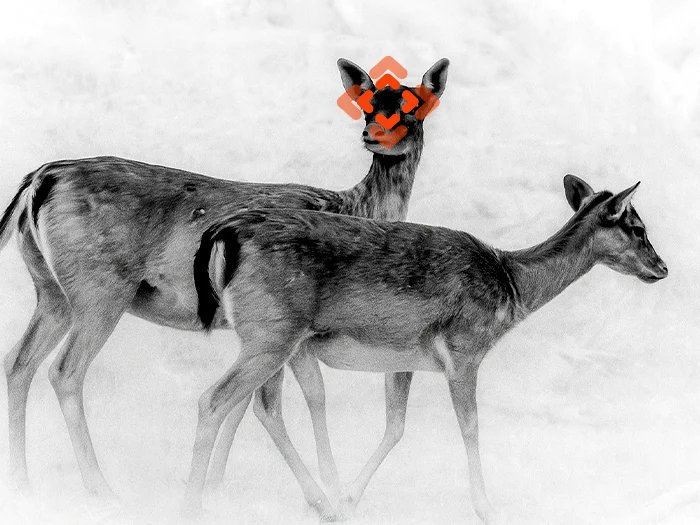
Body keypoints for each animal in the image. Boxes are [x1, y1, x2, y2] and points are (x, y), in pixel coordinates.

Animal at [0, 58, 449, 519]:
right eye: (367, 105)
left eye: (414, 107)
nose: (373, 135)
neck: (353, 208)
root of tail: (38, 181)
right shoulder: (288, 327)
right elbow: (294, 399)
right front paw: (325, 498)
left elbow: (244, 406)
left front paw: (216, 487)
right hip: (101, 287)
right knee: (65, 371)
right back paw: (101, 489)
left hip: (51, 289)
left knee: (18, 361)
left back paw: (22, 482)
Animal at [190, 174, 668, 521]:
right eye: (637, 227)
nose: (662, 268)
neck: (512, 287)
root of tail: (225, 230)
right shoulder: (464, 350)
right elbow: (470, 426)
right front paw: (487, 509)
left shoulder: (403, 359)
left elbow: (395, 427)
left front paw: (350, 500)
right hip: (272, 336)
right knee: (215, 400)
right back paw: (194, 503)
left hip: (277, 342)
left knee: (256, 406)